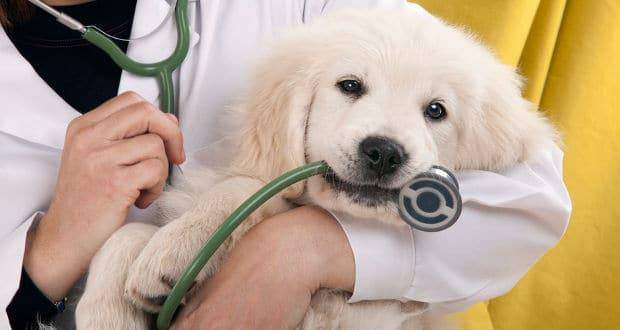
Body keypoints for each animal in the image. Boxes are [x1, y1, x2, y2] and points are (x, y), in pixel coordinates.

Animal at [75, 7, 556, 330]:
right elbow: (130, 232)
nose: (384, 152)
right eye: (350, 86)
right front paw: (113, 307)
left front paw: (175, 250)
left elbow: (241, 191)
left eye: (436, 111)